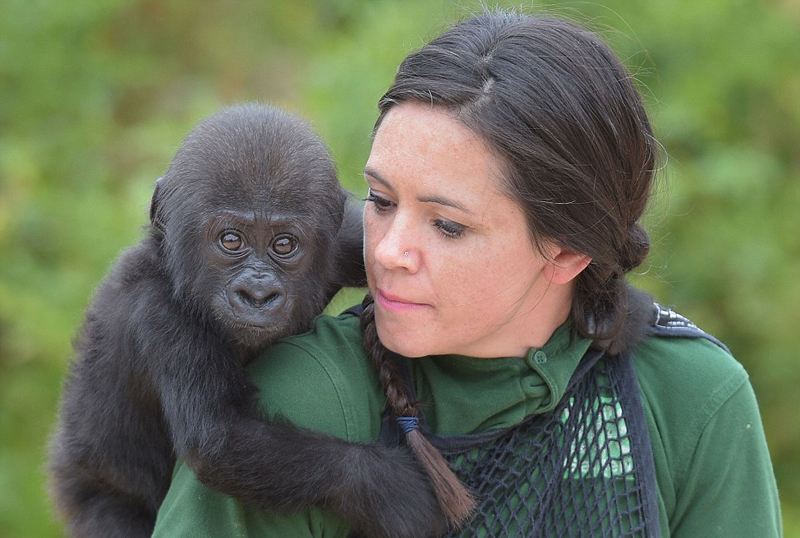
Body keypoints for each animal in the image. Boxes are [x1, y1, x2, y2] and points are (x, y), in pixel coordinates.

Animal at [50, 102, 446, 536]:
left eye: (284, 244)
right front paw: (389, 489)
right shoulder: (158, 313)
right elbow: (220, 437)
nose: (257, 295)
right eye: (231, 240)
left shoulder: (349, 241)